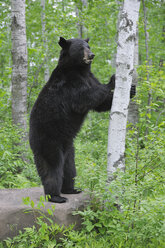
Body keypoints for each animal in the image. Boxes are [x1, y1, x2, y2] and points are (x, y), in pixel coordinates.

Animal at [29, 37, 135, 203]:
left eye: (88, 46)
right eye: (80, 48)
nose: (91, 55)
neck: (79, 70)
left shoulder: (90, 77)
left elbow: (100, 103)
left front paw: (132, 90)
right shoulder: (69, 85)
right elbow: (85, 98)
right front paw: (112, 80)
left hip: (69, 146)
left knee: (69, 168)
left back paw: (71, 189)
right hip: (49, 140)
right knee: (52, 167)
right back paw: (55, 196)